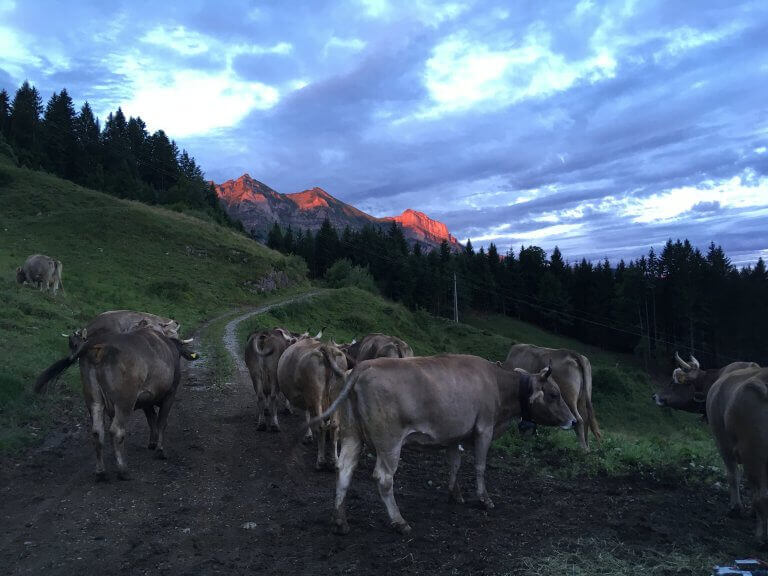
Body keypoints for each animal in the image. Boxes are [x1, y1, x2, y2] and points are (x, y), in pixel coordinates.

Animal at [35, 326, 198, 480]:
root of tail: (100, 347)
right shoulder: (170, 393)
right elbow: (161, 422)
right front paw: (160, 450)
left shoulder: (147, 398)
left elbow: (151, 419)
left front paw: (152, 443)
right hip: (124, 401)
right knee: (116, 430)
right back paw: (123, 470)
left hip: (94, 399)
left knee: (97, 431)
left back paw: (101, 472)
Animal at [276, 340, 348, 470]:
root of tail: (326, 349)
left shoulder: (308, 398)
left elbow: (308, 416)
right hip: (336, 395)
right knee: (334, 425)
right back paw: (335, 461)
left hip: (315, 393)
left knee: (320, 425)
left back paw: (320, 461)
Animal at [308, 356, 572, 536]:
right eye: (554, 394)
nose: (573, 420)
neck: (497, 383)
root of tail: (363, 366)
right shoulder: (484, 429)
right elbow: (480, 466)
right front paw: (484, 499)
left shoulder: (453, 435)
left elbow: (454, 464)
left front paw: (455, 494)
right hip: (389, 442)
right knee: (383, 478)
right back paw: (399, 521)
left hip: (352, 435)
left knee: (344, 470)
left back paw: (340, 520)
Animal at [708, 366, 768, 544]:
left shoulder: (723, 442)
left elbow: (733, 475)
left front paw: (735, 508)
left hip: (754, 453)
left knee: (762, 496)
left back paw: (761, 536)